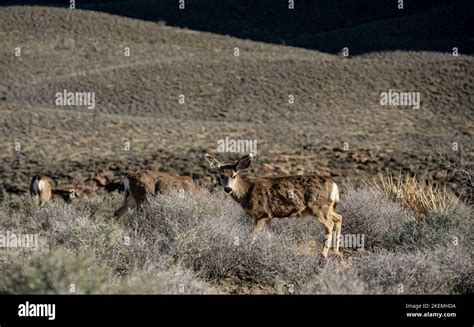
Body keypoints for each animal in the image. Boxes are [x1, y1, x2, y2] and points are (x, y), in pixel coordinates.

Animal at [206, 152, 342, 262]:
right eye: (221, 175)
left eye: (234, 175)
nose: (227, 188)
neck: (247, 193)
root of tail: (334, 185)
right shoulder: (267, 217)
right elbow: (269, 235)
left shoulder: (264, 213)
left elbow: (252, 235)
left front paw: (246, 250)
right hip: (328, 207)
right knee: (339, 217)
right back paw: (336, 252)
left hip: (318, 207)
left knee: (329, 224)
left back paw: (323, 256)